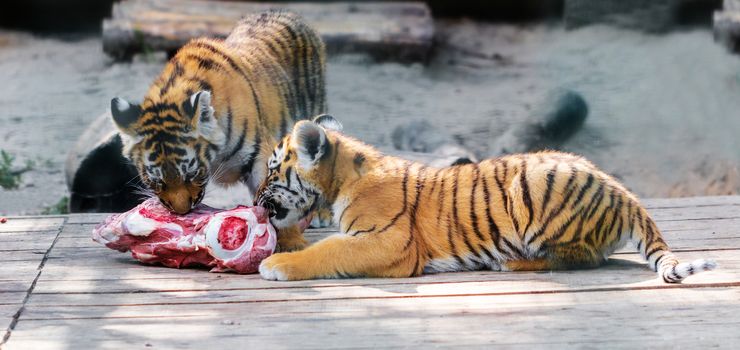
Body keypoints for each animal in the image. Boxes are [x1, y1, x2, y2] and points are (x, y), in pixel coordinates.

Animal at [109, 10, 326, 252]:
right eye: (157, 181)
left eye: (192, 173)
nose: (182, 213)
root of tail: (284, 13)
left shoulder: (260, 156)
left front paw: (291, 243)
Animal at [254, 115, 716, 282]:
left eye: (273, 170)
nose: (256, 201)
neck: (338, 184)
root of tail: (623, 191)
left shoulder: (390, 241)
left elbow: (330, 250)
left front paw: (276, 264)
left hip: (537, 185)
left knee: (584, 258)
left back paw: (511, 262)